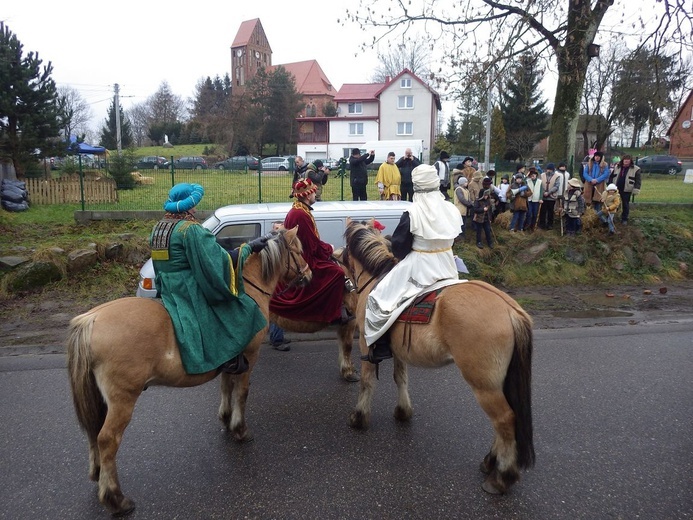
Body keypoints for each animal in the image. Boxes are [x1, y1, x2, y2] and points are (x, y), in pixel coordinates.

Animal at [66, 228, 310, 516]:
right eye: (299, 250)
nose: (309, 275)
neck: (249, 289)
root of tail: (91, 319)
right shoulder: (250, 357)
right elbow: (242, 393)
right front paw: (240, 429)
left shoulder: (230, 358)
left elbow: (226, 386)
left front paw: (226, 419)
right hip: (122, 399)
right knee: (107, 440)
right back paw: (116, 499)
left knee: (93, 431)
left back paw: (97, 474)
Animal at [342, 220, 536, 496]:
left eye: (347, 245)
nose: (337, 255)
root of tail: (511, 310)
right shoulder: (399, 351)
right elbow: (400, 378)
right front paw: (403, 412)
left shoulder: (366, 345)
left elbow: (367, 383)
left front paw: (359, 418)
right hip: (500, 383)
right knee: (506, 421)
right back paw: (491, 462)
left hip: (484, 385)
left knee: (504, 420)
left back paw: (502, 477)